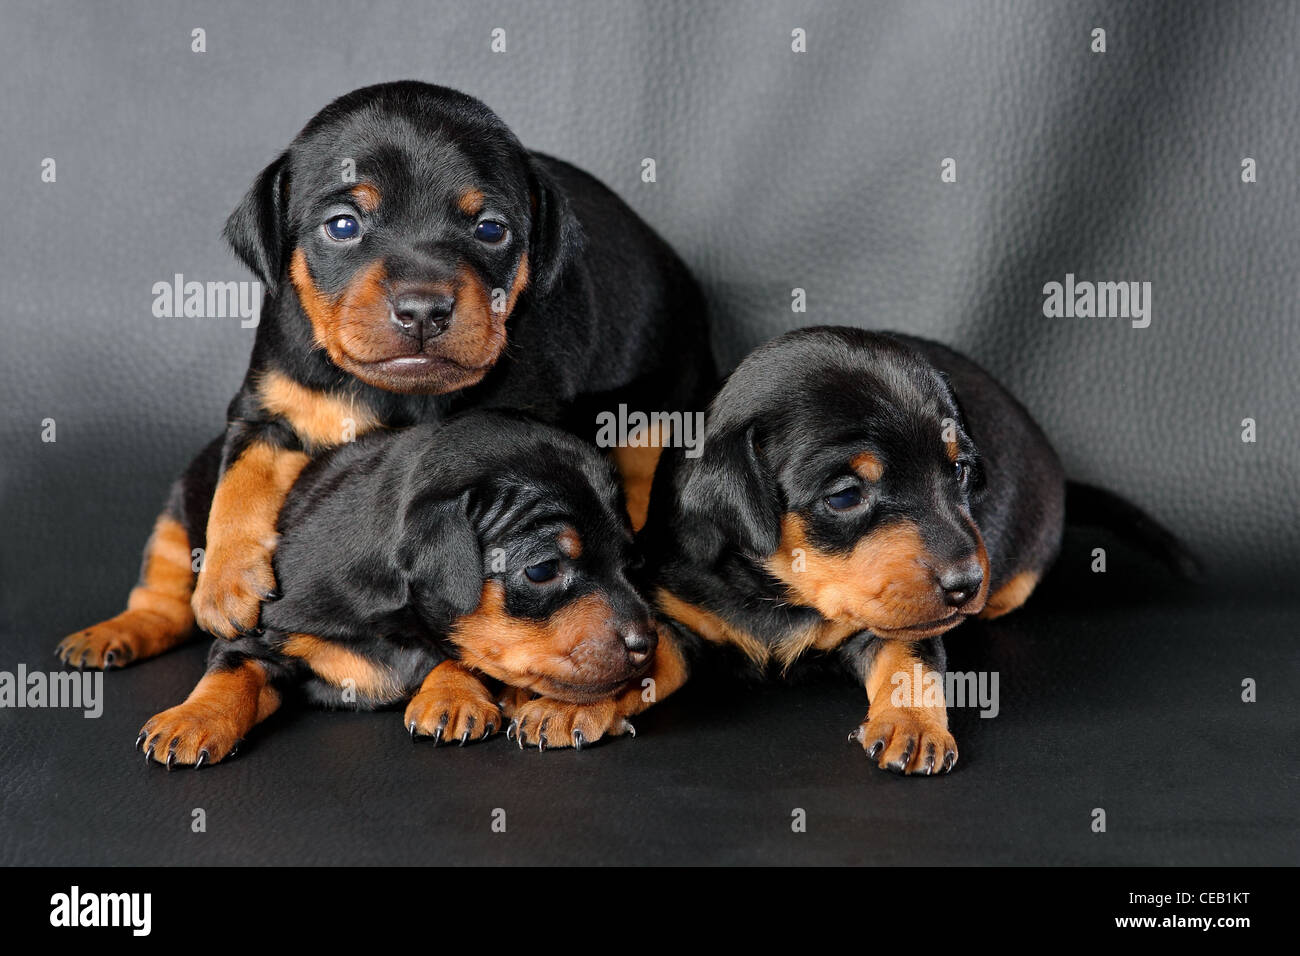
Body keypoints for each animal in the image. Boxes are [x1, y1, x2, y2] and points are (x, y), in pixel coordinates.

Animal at [58, 80, 712, 665]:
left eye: (491, 229)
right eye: (343, 225)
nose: (423, 308)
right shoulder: (265, 404)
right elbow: (240, 481)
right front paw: (226, 580)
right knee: (162, 582)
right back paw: (121, 630)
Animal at [139, 413, 670, 770]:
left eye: (632, 564)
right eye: (542, 570)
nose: (647, 644)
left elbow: (457, 651)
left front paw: (453, 695)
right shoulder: (260, 627)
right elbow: (233, 670)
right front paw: (193, 720)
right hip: (174, 528)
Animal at [634, 329, 1071, 780]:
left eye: (959, 470)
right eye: (845, 496)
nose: (967, 584)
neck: (776, 590)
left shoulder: (901, 625)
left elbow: (909, 660)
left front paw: (912, 726)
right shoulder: (678, 608)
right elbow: (654, 653)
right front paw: (606, 691)